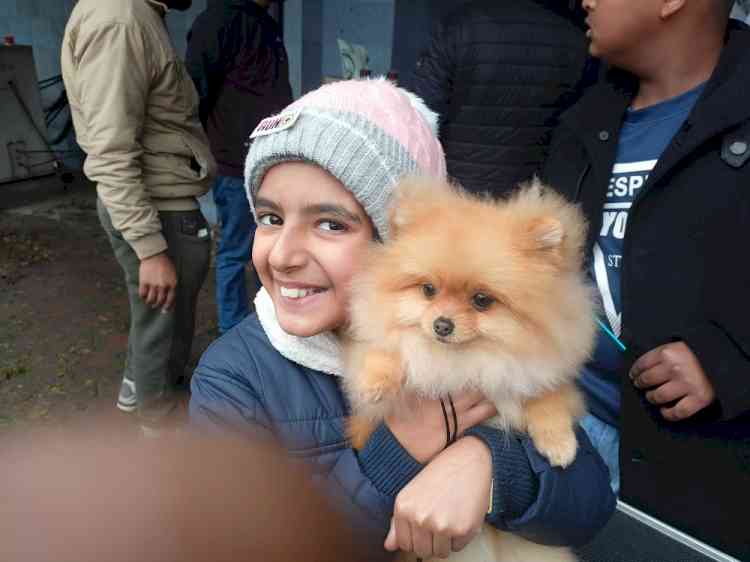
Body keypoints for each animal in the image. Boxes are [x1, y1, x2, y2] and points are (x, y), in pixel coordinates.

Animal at [346, 177, 600, 560]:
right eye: (428, 290)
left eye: (482, 301)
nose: (441, 324)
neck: (463, 362)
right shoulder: (369, 402)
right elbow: (385, 352)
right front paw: (376, 381)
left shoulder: (543, 373)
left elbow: (549, 397)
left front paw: (559, 443)